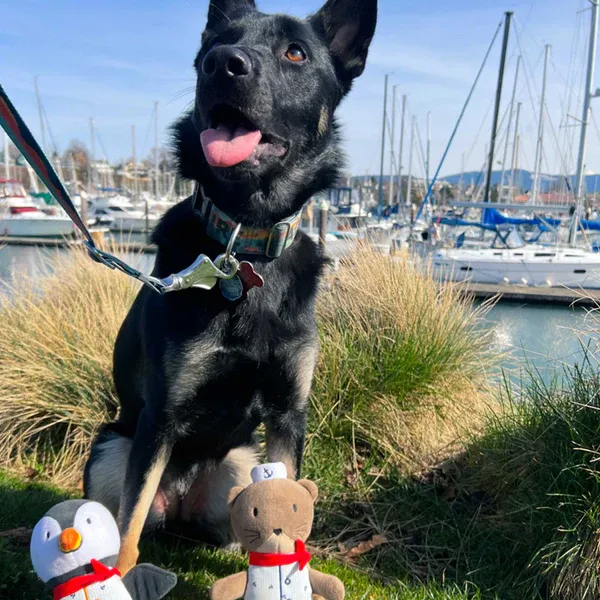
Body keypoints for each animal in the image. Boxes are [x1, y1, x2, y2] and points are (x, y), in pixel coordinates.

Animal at [82, 0, 378, 576]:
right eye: (214, 46)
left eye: (295, 52)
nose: (221, 64)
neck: (245, 244)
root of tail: (180, 504)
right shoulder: (158, 419)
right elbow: (128, 532)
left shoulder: (288, 416)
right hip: (112, 448)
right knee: (125, 519)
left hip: (243, 463)